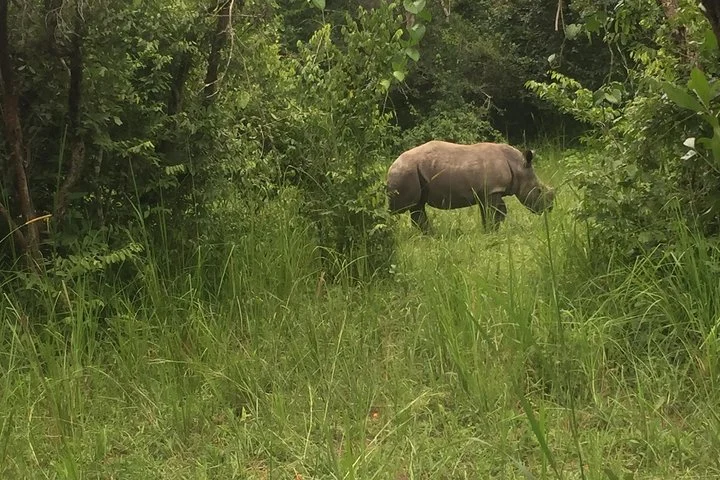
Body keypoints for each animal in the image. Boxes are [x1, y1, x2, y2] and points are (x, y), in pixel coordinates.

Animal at [386, 140, 555, 232]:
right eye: (539, 190)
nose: (549, 209)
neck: (518, 166)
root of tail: (392, 164)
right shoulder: (493, 190)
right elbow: (497, 212)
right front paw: (492, 232)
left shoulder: (486, 193)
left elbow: (491, 213)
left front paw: (488, 231)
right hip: (405, 172)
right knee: (403, 208)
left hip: (411, 172)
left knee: (418, 206)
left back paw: (430, 235)